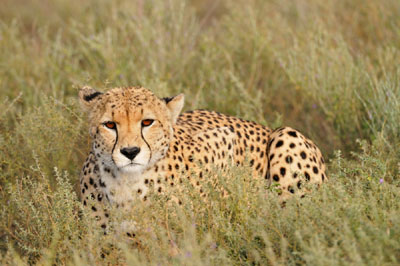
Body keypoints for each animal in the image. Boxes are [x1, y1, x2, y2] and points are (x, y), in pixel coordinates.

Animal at [79, 87, 328, 231]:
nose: (130, 152)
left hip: (286, 136)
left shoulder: (225, 137)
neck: (126, 182)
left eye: (147, 122)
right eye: (110, 125)